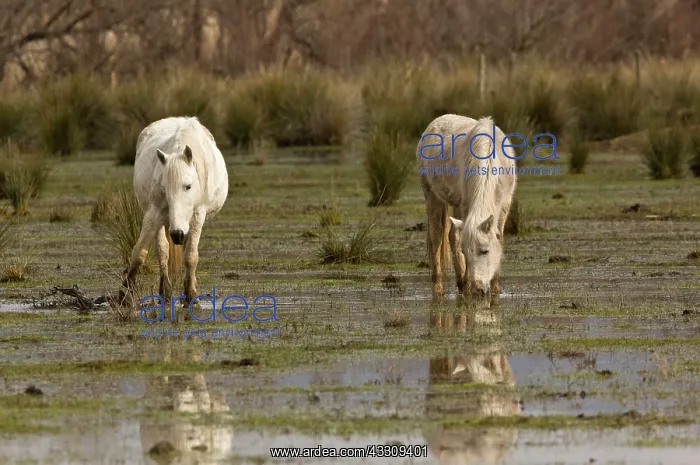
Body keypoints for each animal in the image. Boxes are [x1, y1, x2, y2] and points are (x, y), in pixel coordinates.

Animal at [119, 116, 229, 308]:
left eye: (188, 186)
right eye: (165, 188)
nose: (177, 234)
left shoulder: (198, 215)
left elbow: (190, 256)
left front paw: (191, 296)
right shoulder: (154, 213)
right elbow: (139, 252)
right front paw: (125, 295)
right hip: (162, 221)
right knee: (163, 251)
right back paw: (166, 292)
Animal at [416, 114, 516, 299]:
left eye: (485, 251)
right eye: (465, 252)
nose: (479, 290)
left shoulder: (504, 206)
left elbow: (499, 238)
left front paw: (496, 288)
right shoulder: (466, 205)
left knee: (451, 235)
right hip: (433, 198)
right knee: (437, 237)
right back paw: (441, 288)